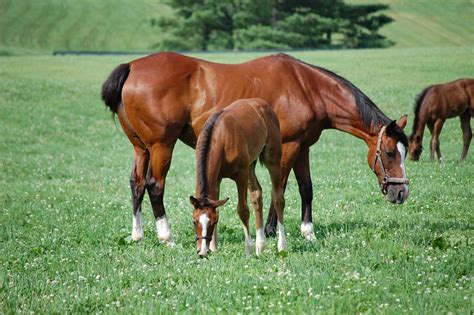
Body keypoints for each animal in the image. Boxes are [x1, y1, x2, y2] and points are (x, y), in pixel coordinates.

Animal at [189, 98, 286, 256]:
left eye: (212, 222)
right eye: (194, 221)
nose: (202, 251)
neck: (221, 137)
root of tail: (262, 104)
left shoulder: (241, 175)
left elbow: (243, 210)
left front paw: (249, 249)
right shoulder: (217, 179)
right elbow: (218, 207)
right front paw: (214, 248)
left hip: (272, 160)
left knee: (278, 198)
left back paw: (281, 245)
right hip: (251, 164)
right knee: (257, 195)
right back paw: (260, 245)